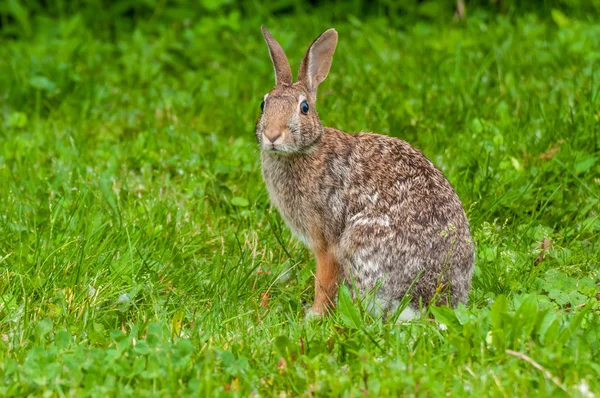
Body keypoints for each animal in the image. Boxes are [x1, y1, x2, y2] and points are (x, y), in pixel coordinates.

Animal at [255, 26, 476, 320]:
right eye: (263, 104)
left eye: (304, 108)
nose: (271, 135)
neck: (305, 150)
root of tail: (429, 300)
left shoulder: (327, 241)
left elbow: (324, 280)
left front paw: (313, 315)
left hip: (359, 244)